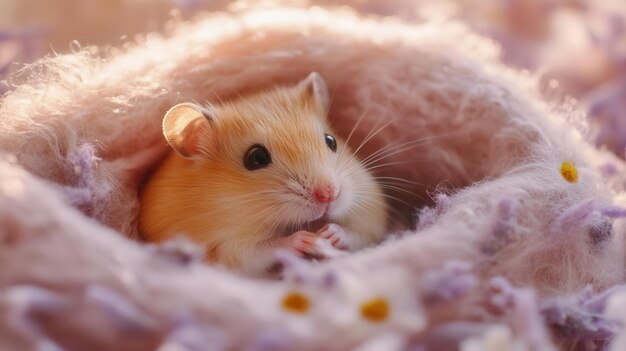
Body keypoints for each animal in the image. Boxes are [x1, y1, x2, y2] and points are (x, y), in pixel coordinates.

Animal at [139, 73, 388, 276]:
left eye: (331, 141)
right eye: (256, 158)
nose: (329, 195)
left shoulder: (371, 219)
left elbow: (362, 235)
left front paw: (330, 234)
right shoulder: (224, 250)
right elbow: (261, 249)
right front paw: (305, 239)